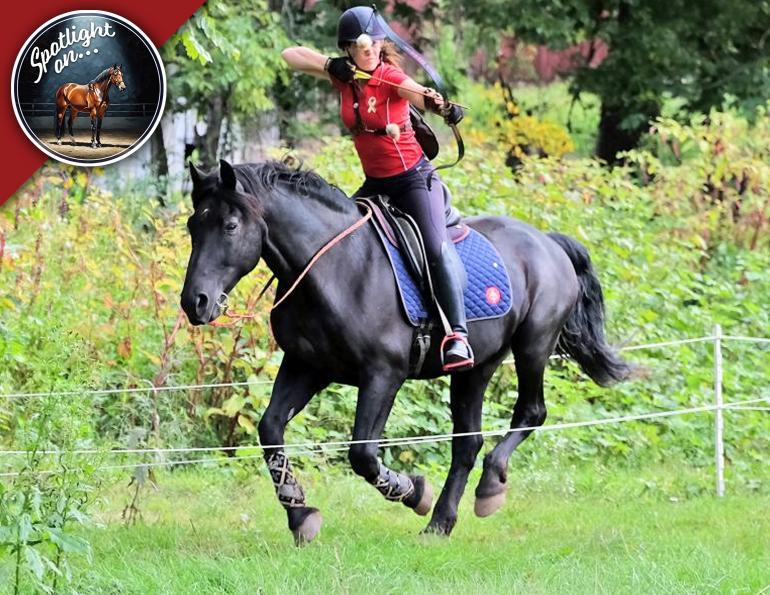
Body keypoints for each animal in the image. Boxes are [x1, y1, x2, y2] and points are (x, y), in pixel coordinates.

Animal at [180, 159, 632, 545]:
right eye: (192, 225)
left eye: (230, 225)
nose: (195, 302)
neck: (336, 267)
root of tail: (547, 242)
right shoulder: (307, 366)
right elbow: (271, 431)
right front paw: (301, 516)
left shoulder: (383, 374)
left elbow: (362, 454)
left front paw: (414, 492)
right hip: (475, 367)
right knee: (467, 442)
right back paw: (441, 523)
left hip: (533, 346)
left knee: (531, 412)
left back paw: (488, 487)